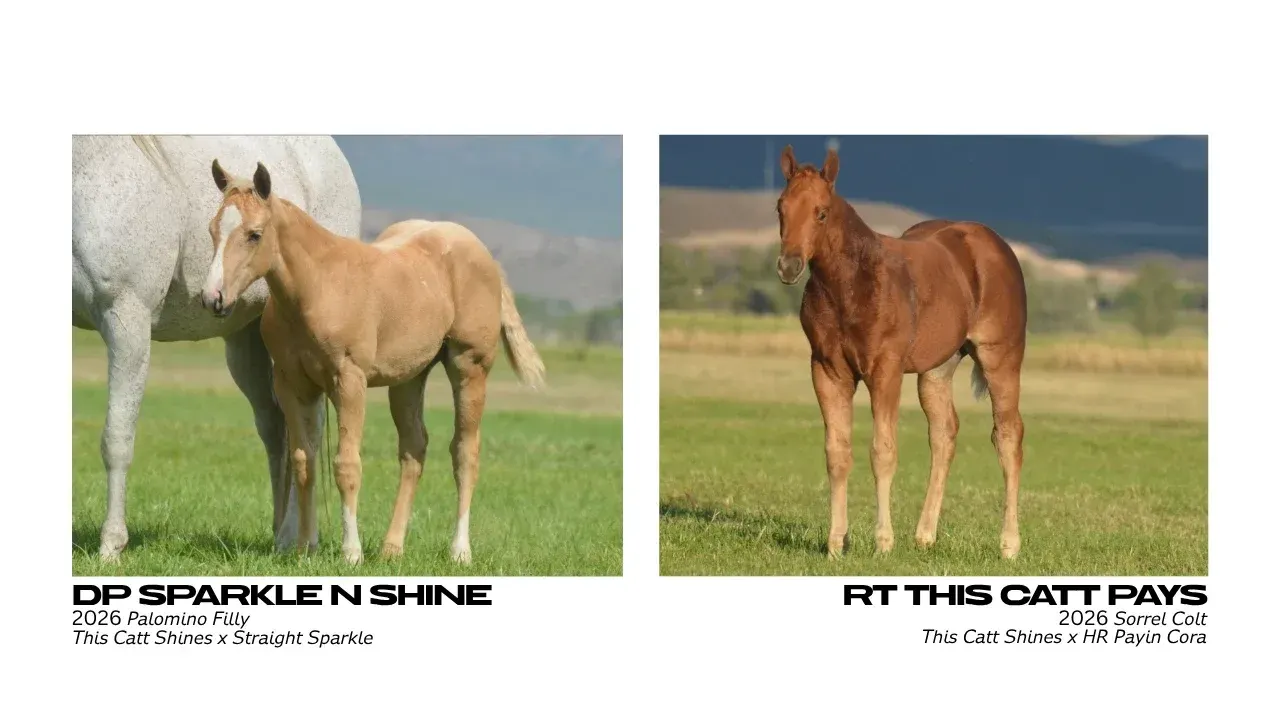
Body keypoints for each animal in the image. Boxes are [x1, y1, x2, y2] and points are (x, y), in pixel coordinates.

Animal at [72, 135, 362, 561]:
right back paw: (282, 536)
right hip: (247, 342)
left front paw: (111, 545)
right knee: (276, 429)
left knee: (306, 434)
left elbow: (117, 437)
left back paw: (299, 537)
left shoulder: (126, 318)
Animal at [201, 160, 546, 564]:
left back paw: (459, 551)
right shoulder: (292, 384)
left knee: (465, 452)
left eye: (254, 234)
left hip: (469, 366)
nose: (212, 298)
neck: (319, 286)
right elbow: (304, 461)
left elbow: (346, 464)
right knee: (414, 449)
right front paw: (304, 549)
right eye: (213, 229)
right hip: (409, 378)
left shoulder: (349, 381)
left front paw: (351, 553)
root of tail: (483, 254)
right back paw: (392, 547)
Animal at [774, 145, 1028, 560]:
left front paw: (883, 542)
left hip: (1001, 356)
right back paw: (925, 535)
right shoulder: (827, 371)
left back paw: (1008, 544)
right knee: (944, 433)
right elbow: (837, 453)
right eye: (780, 207)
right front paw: (835, 544)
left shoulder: (885, 371)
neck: (850, 285)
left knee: (1007, 435)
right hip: (937, 369)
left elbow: (883, 451)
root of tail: (994, 244)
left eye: (821, 212)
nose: (789, 266)